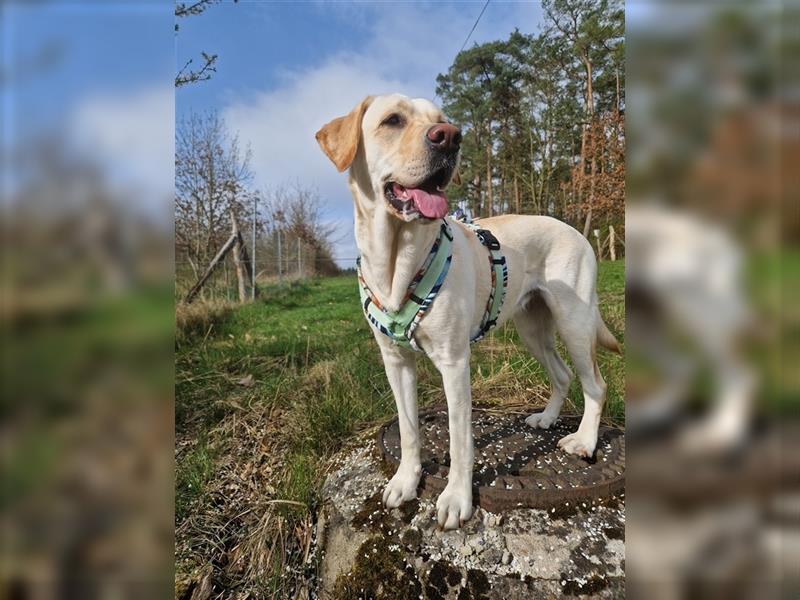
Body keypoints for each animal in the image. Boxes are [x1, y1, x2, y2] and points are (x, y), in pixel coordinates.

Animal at [316, 94, 616, 528]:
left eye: (442, 120)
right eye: (392, 120)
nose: (450, 137)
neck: (397, 261)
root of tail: (576, 229)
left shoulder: (455, 362)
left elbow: (460, 440)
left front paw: (456, 498)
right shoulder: (395, 362)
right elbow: (408, 430)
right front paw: (406, 480)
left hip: (574, 321)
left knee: (596, 385)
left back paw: (585, 442)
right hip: (532, 327)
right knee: (562, 375)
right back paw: (545, 419)